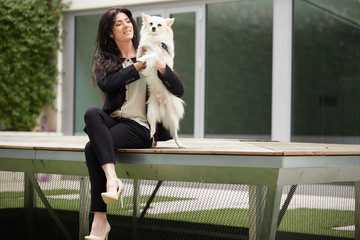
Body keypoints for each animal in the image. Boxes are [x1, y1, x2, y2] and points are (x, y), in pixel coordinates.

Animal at [136, 13, 184, 148]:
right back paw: (151, 137)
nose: (153, 28)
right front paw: (138, 56)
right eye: (151, 24)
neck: (154, 39)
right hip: (151, 114)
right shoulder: (144, 46)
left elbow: (149, 55)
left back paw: (179, 144)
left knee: (175, 134)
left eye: (159, 25)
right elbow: (140, 48)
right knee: (152, 127)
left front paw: (142, 59)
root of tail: (161, 111)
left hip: (172, 121)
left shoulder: (158, 55)